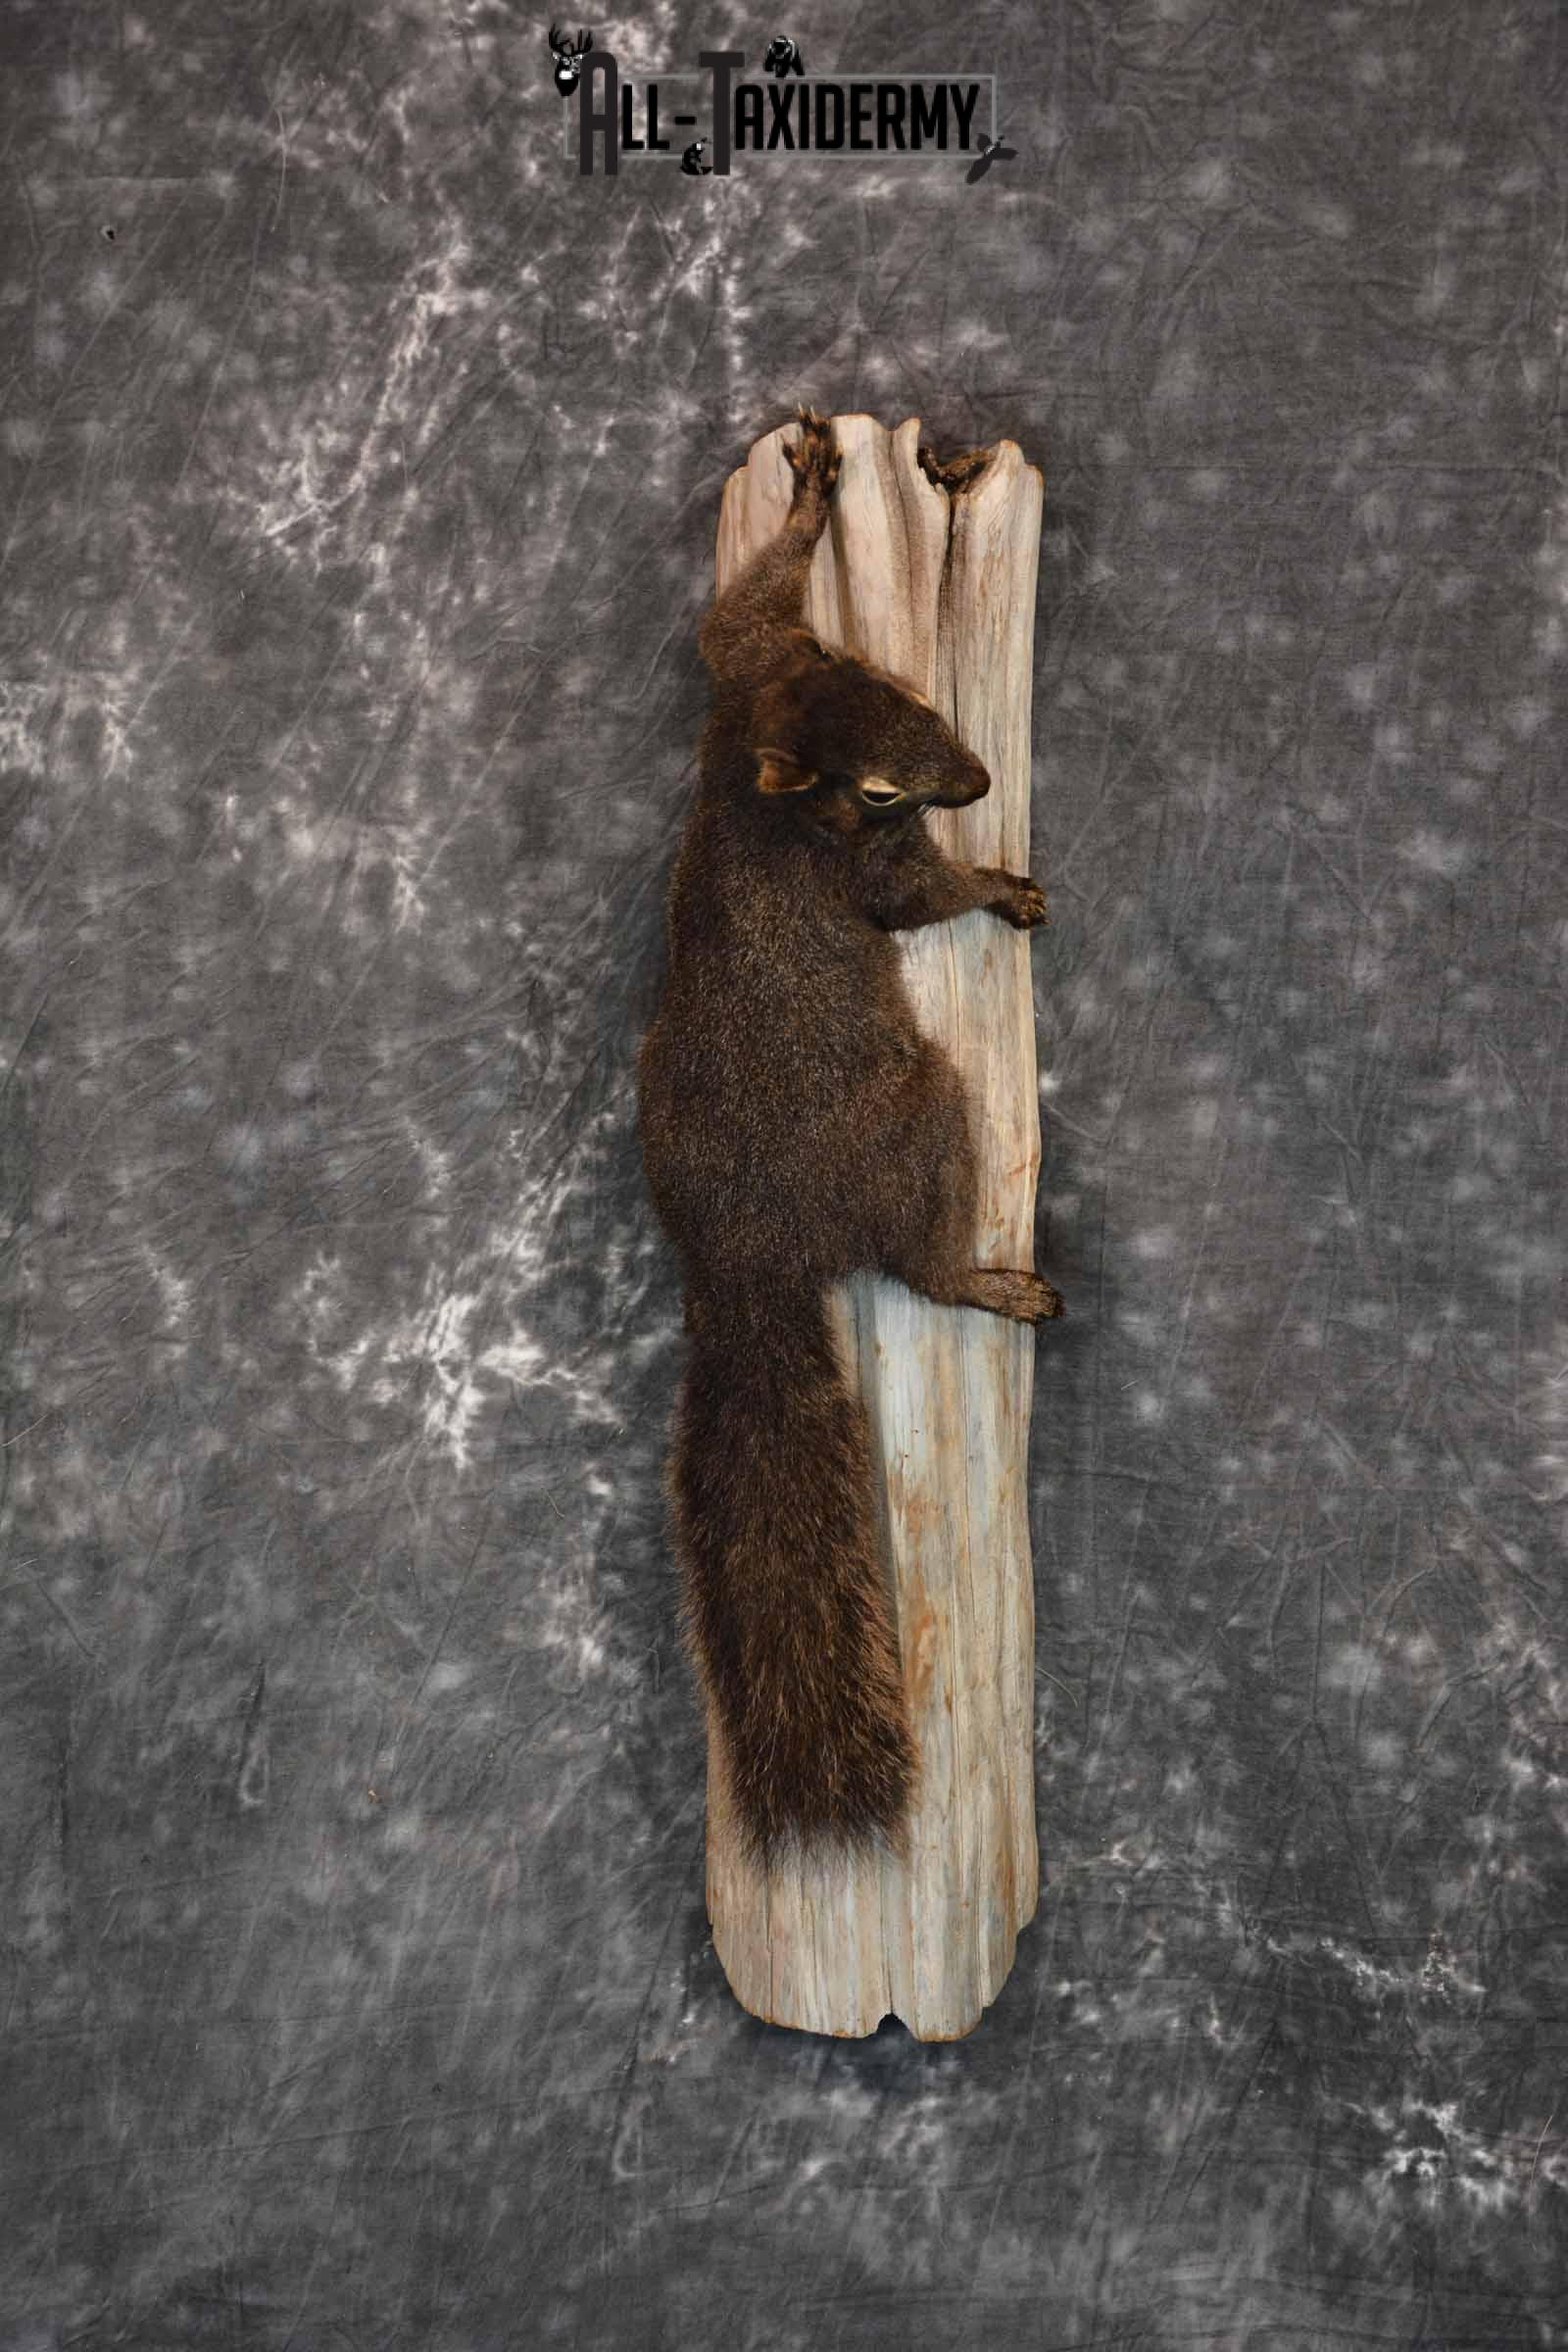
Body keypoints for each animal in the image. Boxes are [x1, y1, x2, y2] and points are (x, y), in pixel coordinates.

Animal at [636, 406, 1064, 1871]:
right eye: (881, 788)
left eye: (910, 689)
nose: (976, 778)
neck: (757, 761)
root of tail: (741, 1259)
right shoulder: (863, 868)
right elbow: (917, 899)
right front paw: (994, 884)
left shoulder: (746, 661)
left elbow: (739, 607)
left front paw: (814, 487)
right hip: (914, 1116)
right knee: (914, 1264)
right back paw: (987, 1278)